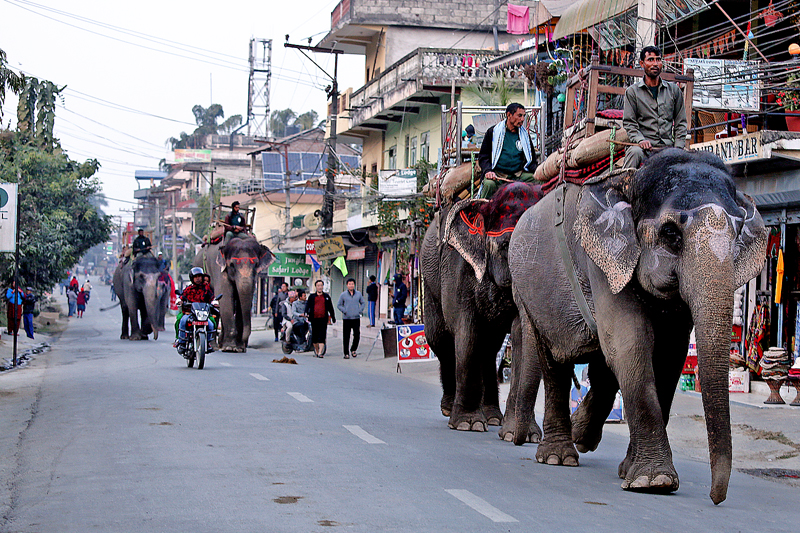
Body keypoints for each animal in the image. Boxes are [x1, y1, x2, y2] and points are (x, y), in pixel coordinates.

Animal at [421, 182, 543, 438]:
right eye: (506, 246)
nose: (523, 439)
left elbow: (520, 335)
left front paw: (521, 435)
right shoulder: (457, 267)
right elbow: (467, 331)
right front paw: (468, 424)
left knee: (489, 349)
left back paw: (493, 418)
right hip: (430, 278)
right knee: (440, 339)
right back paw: (449, 409)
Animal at [508, 149, 767, 505]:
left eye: (739, 231)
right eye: (671, 233)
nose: (717, 498)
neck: (634, 178)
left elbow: (669, 355)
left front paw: (635, 473)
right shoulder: (601, 260)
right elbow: (631, 342)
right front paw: (654, 481)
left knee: (601, 363)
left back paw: (582, 435)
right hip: (530, 293)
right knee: (554, 361)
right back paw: (559, 456)